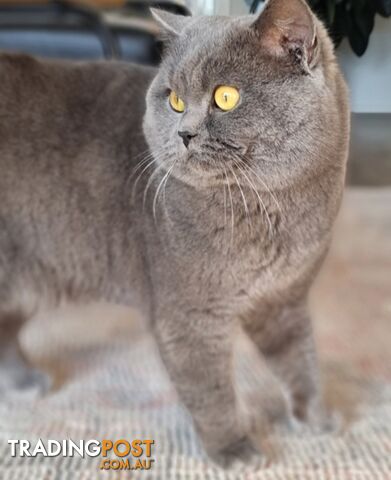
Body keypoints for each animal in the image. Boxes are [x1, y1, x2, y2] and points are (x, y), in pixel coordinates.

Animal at [0, 0, 350, 470]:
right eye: (175, 100)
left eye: (226, 97)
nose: (184, 132)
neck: (272, 209)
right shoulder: (188, 315)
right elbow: (210, 390)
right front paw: (234, 450)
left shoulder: (284, 299)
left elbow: (301, 361)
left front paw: (316, 419)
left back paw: (23, 381)